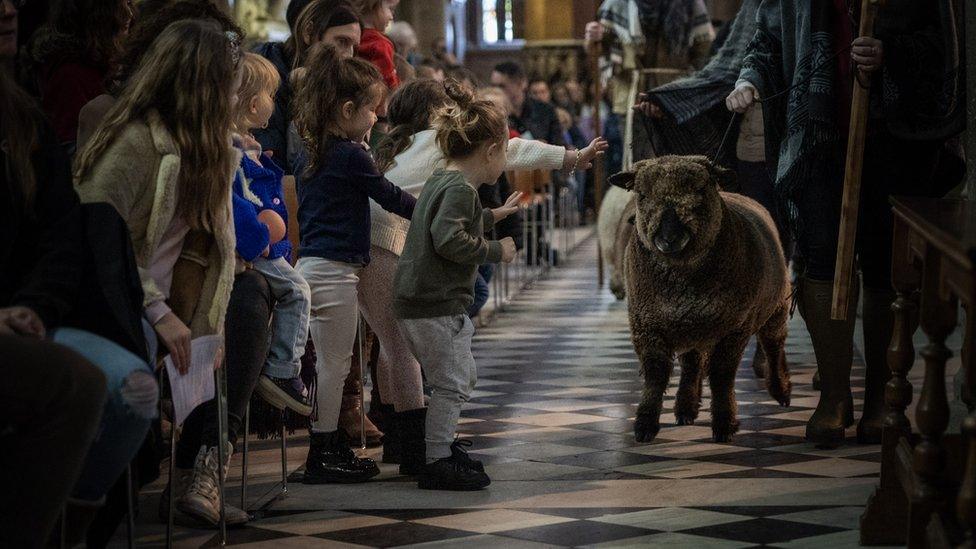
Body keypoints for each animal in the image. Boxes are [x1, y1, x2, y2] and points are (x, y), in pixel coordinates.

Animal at [616, 155, 792, 446]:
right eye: (641, 194)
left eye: (701, 191)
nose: (669, 238)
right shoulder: (646, 324)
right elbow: (656, 375)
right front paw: (645, 425)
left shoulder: (736, 328)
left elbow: (721, 376)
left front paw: (724, 424)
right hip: (693, 326)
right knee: (692, 364)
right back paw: (686, 407)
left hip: (776, 306)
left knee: (773, 345)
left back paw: (781, 390)